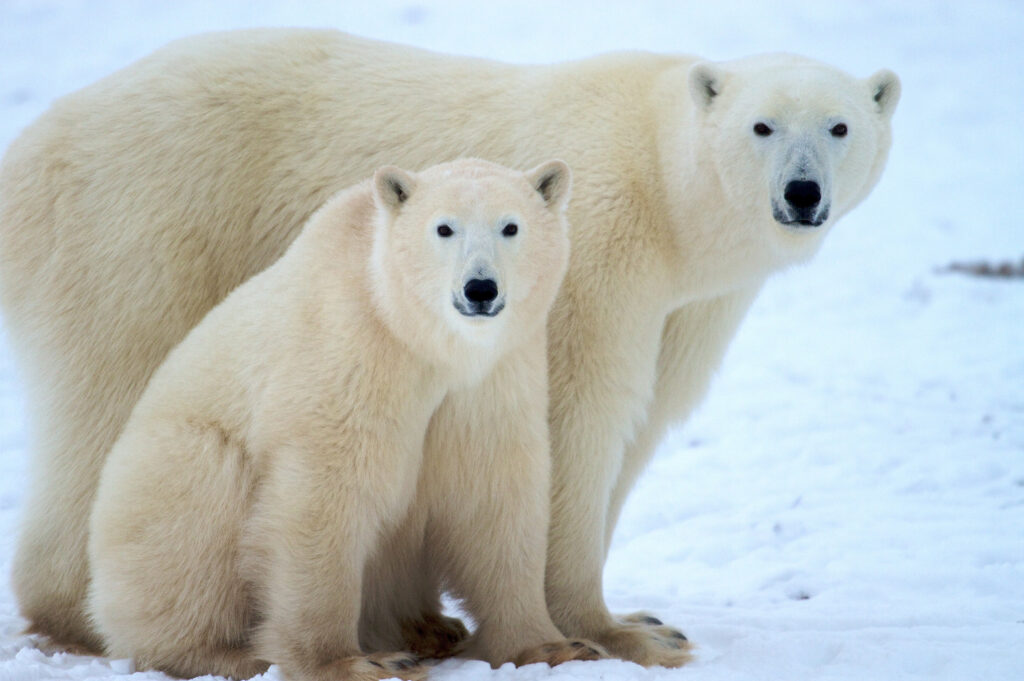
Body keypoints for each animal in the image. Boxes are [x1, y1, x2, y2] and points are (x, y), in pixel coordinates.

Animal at [0, 29, 897, 667]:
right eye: (762, 126)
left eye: (841, 125)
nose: (802, 193)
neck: (661, 187)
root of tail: (31, 150)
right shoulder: (594, 255)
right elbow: (571, 422)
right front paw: (619, 632)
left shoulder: (689, 304)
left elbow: (638, 420)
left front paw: (642, 620)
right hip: (144, 231)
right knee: (114, 399)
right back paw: (89, 617)